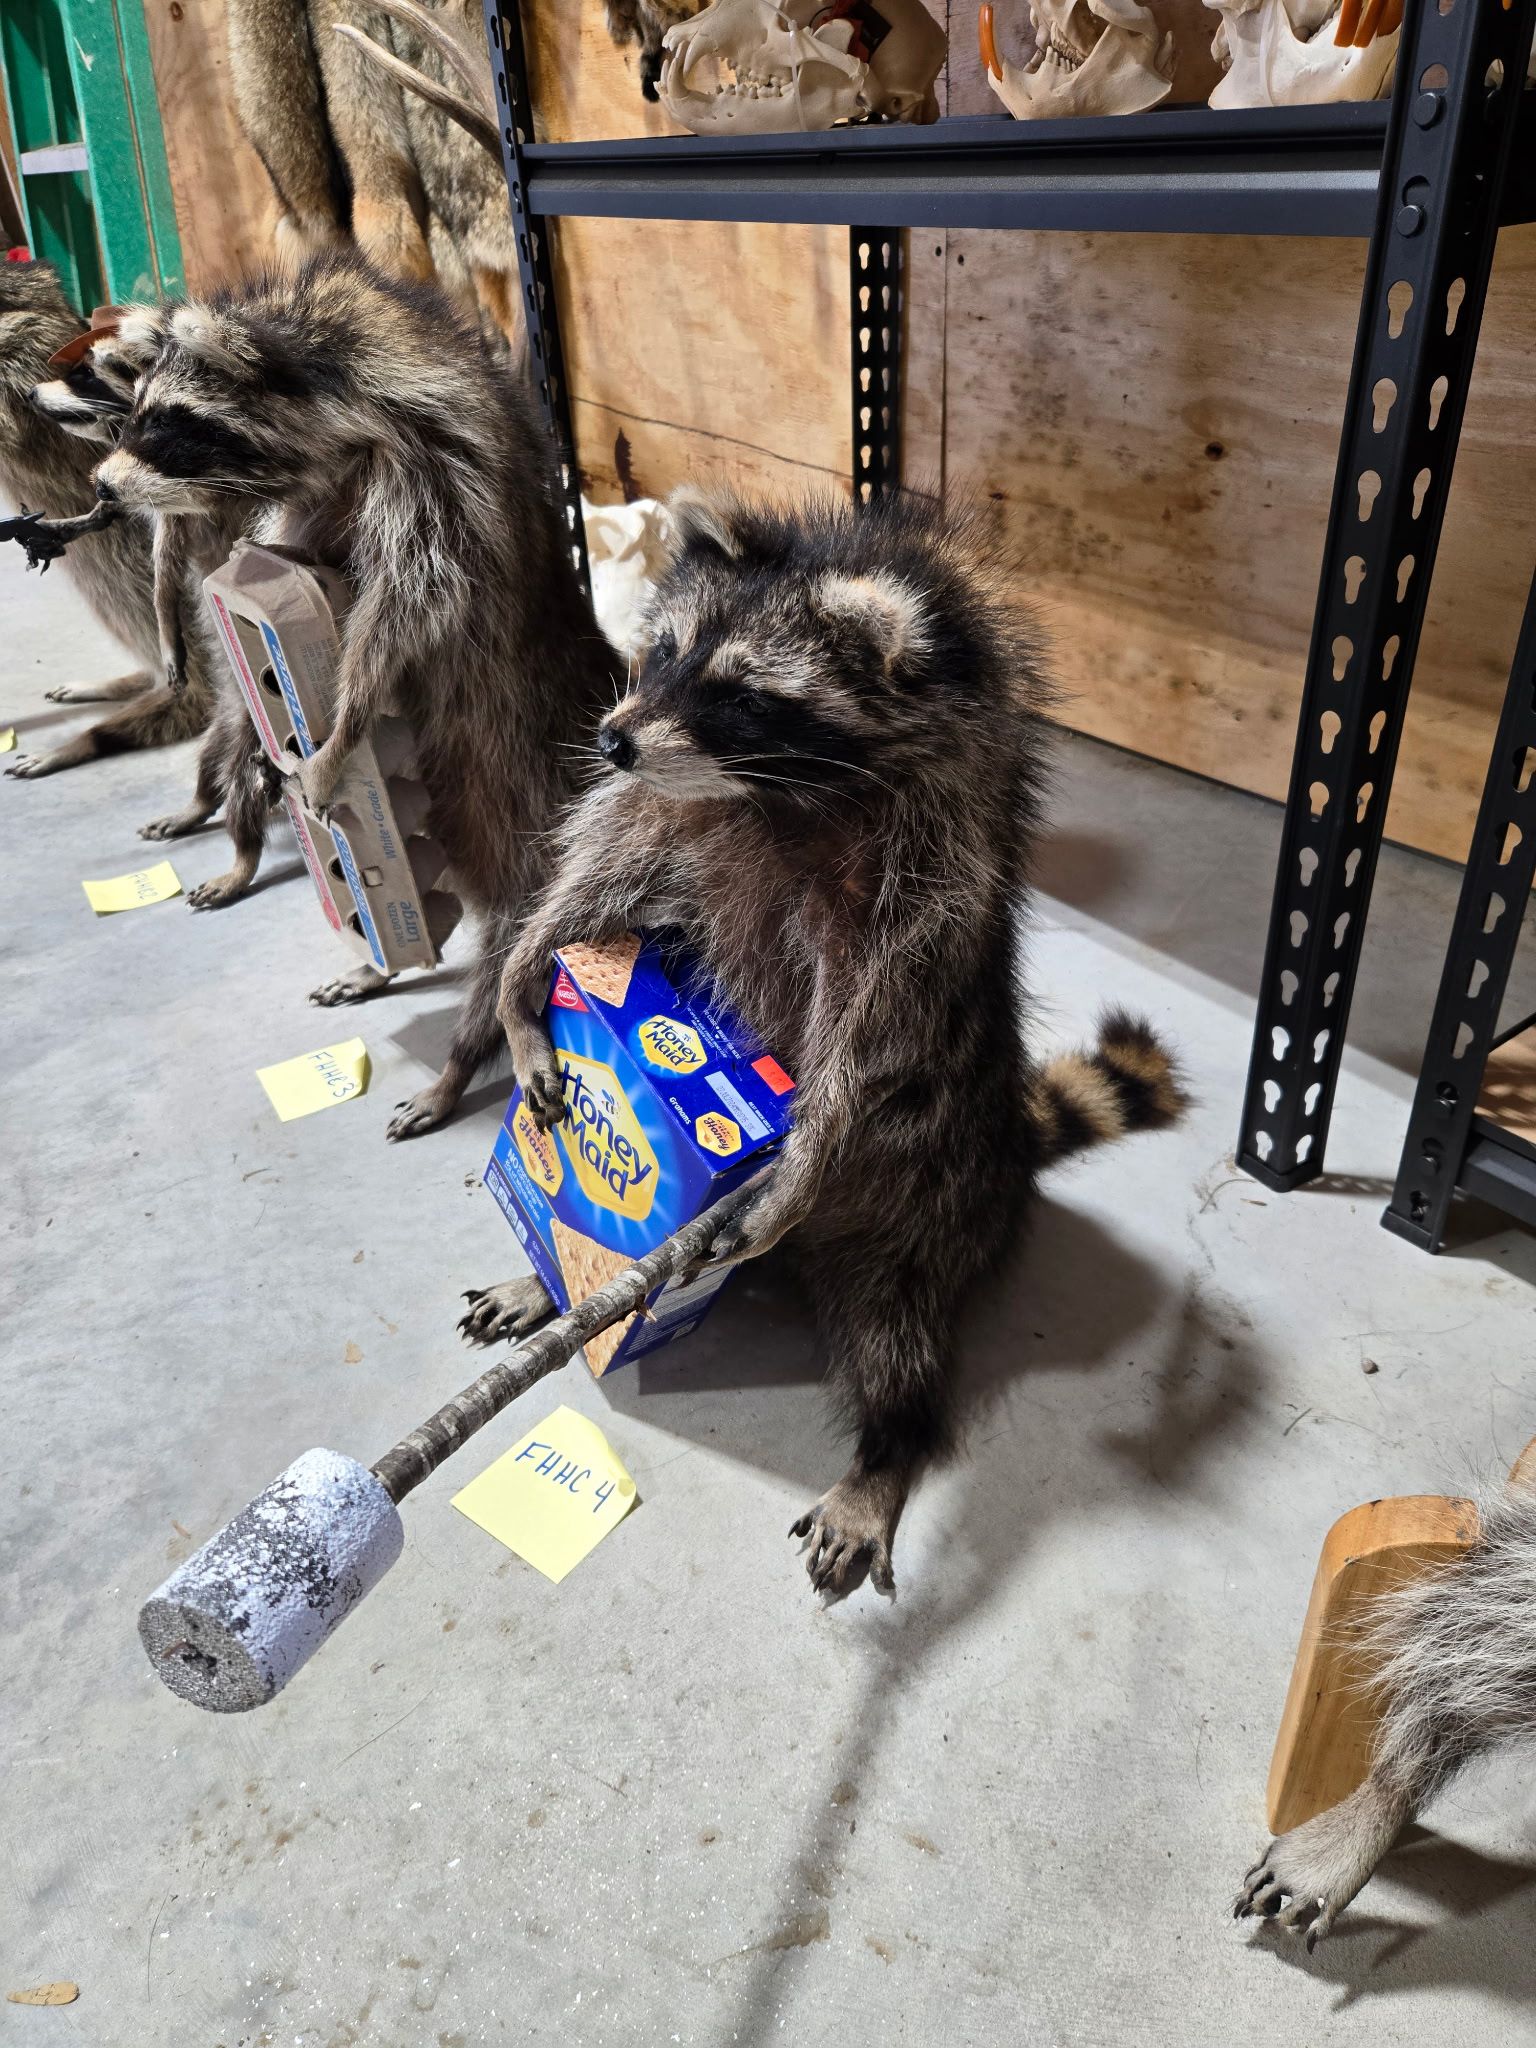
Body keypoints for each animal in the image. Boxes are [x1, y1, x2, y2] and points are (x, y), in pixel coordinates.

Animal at [92, 254, 618, 1136]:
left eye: (169, 424)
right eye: (131, 415)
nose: (100, 488)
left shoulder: (437, 473)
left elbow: (401, 615)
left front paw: (344, 724)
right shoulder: (317, 497)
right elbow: (285, 568)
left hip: (534, 835)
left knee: (506, 963)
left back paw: (469, 1056)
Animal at [473, 489, 1185, 1596]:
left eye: (739, 693)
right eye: (661, 653)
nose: (612, 735)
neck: (775, 791)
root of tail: (1003, 1150)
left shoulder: (925, 890)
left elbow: (866, 1040)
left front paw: (811, 1140)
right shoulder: (668, 815)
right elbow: (590, 887)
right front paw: (521, 984)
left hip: (923, 1212)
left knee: (900, 1340)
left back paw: (888, 1447)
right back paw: (547, 1279)